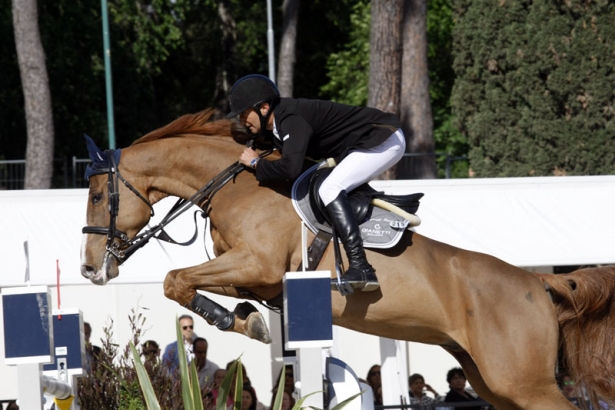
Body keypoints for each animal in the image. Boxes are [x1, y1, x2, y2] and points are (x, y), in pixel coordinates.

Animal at [82, 109, 615, 410]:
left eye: (97, 195)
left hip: (524, 384)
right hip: (495, 384)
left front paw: (241, 321)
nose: (90, 267)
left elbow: (175, 278)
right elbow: (189, 284)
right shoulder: (255, 276)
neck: (237, 185)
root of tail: (537, 283)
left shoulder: (259, 264)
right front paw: (247, 319)